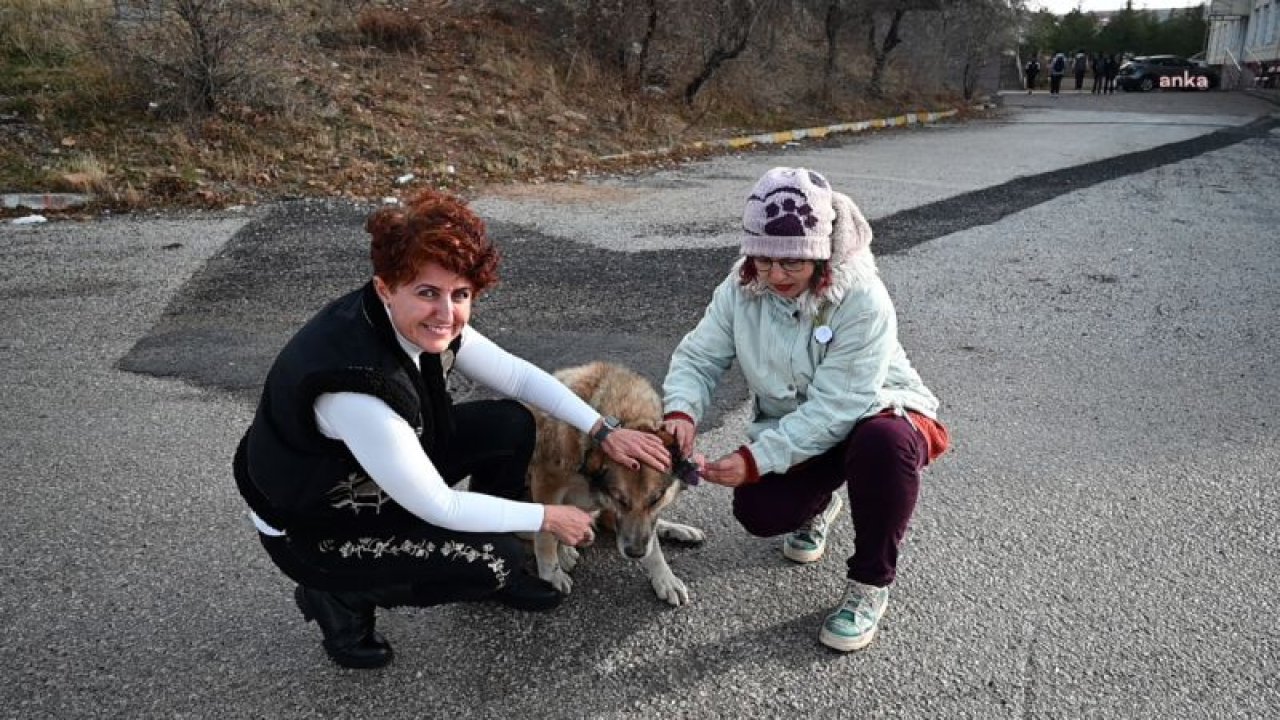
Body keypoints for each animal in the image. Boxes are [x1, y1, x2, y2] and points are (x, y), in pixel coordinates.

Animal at [524, 361, 706, 602]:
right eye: (619, 499)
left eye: (655, 500)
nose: (636, 553)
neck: (627, 417)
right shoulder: (547, 481)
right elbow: (545, 534)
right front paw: (550, 574)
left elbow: (653, 542)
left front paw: (664, 577)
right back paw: (565, 551)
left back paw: (675, 529)